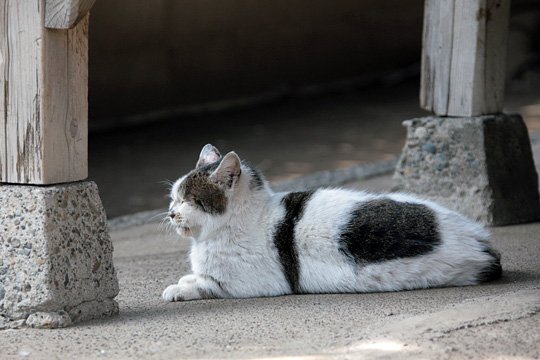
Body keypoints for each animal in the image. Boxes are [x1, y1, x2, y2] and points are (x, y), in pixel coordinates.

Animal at [161, 143, 502, 300]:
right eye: (174, 198)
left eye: (188, 200)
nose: (172, 213)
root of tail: (483, 246)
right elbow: (197, 276)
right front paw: (186, 278)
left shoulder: (245, 285)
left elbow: (207, 285)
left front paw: (178, 289)